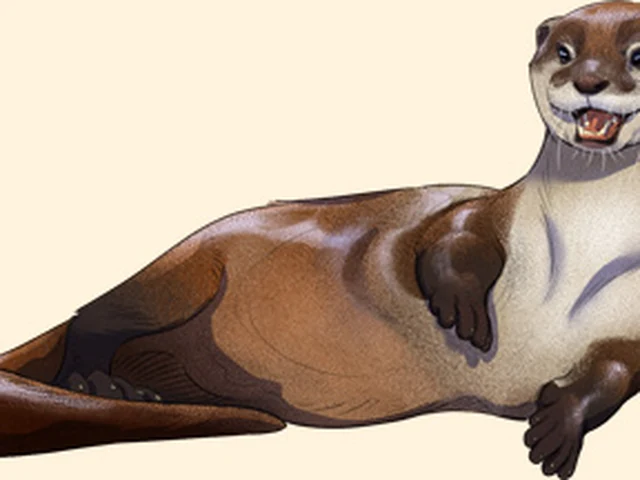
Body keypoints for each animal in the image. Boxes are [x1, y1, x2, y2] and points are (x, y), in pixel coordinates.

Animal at [1, 1, 640, 478]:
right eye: (564, 52)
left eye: (636, 53)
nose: (589, 80)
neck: (580, 250)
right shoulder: (487, 211)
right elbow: (449, 236)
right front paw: (462, 310)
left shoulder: (629, 316)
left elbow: (615, 373)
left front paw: (558, 426)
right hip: (179, 273)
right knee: (94, 316)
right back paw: (95, 378)